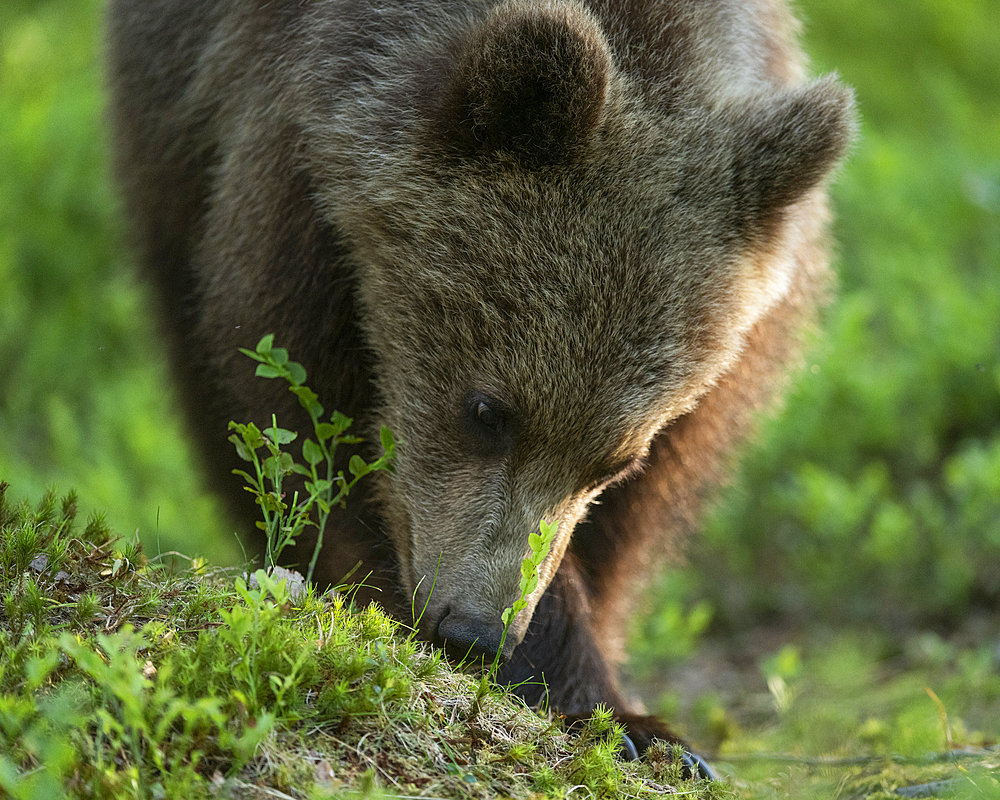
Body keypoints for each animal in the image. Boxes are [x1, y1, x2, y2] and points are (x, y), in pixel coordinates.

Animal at [107, 0, 852, 768]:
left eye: (617, 459)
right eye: (489, 409)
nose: (475, 630)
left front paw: (634, 722)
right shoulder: (284, 170)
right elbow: (301, 416)